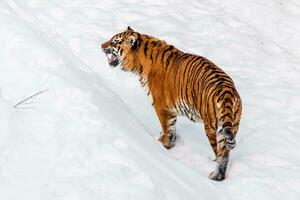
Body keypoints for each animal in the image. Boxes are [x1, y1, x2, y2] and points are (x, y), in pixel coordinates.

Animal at [102, 26, 243, 181]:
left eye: (115, 41)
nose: (101, 45)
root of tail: (228, 92)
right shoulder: (171, 110)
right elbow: (172, 129)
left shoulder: (162, 107)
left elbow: (167, 129)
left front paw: (163, 144)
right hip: (230, 127)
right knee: (225, 154)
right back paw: (217, 176)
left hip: (211, 127)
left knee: (219, 154)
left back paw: (215, 175)